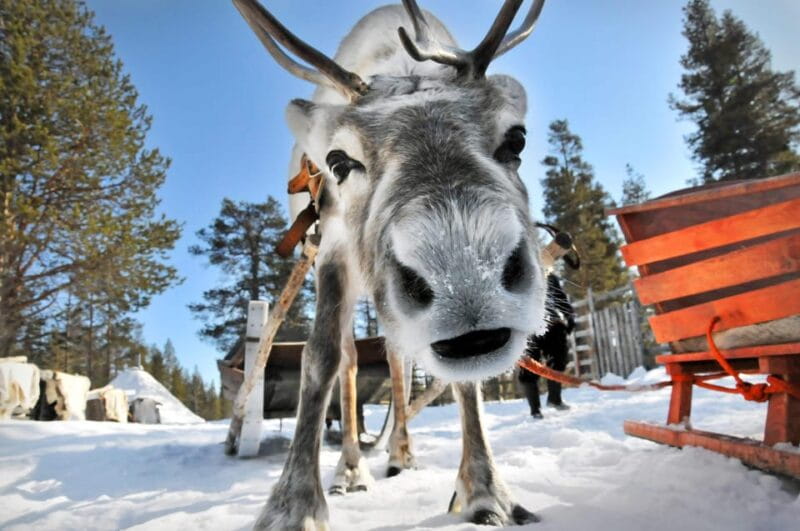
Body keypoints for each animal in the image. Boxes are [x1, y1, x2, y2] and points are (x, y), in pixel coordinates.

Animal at [232, 0, 548, 528]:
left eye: (517, 139)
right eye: (339, 161)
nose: (466, 282)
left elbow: (464, 384)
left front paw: (486, 492)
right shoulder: (332, 248)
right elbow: (320, 358)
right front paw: (292, 505)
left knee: (399, 361)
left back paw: (400, 452)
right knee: (352, 360)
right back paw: (350, 469)